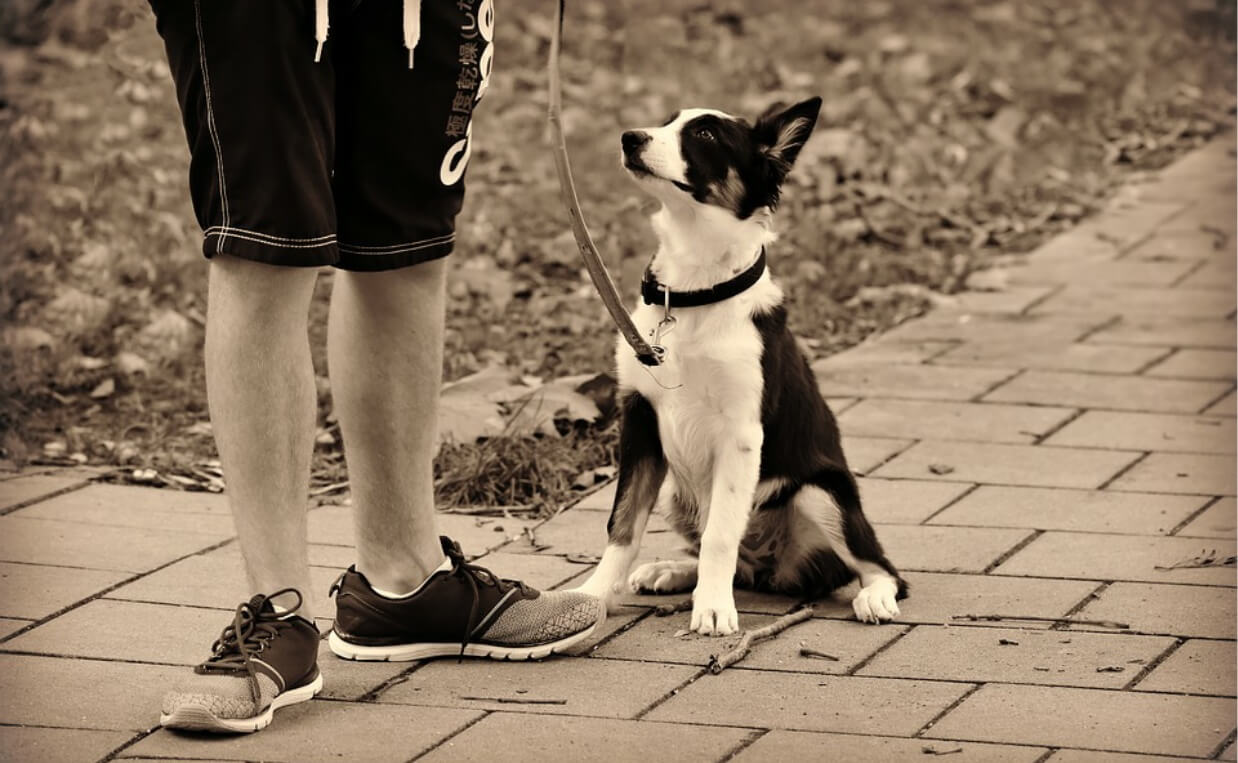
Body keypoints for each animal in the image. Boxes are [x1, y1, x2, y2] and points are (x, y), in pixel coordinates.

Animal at [571, 96, 911, 639]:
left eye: (706, 135)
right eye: (666, 122)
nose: (630, 138)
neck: (693, 292)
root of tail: (774, 567)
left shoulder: (741, 432)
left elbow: (721, 533)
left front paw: (712, 608)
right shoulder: (640, 417)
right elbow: (622, 522)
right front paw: (592, 595)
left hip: (821, 492)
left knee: (882, 568)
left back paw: (874, 597)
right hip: (676, 491)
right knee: (737, 563)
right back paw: (673, 571)